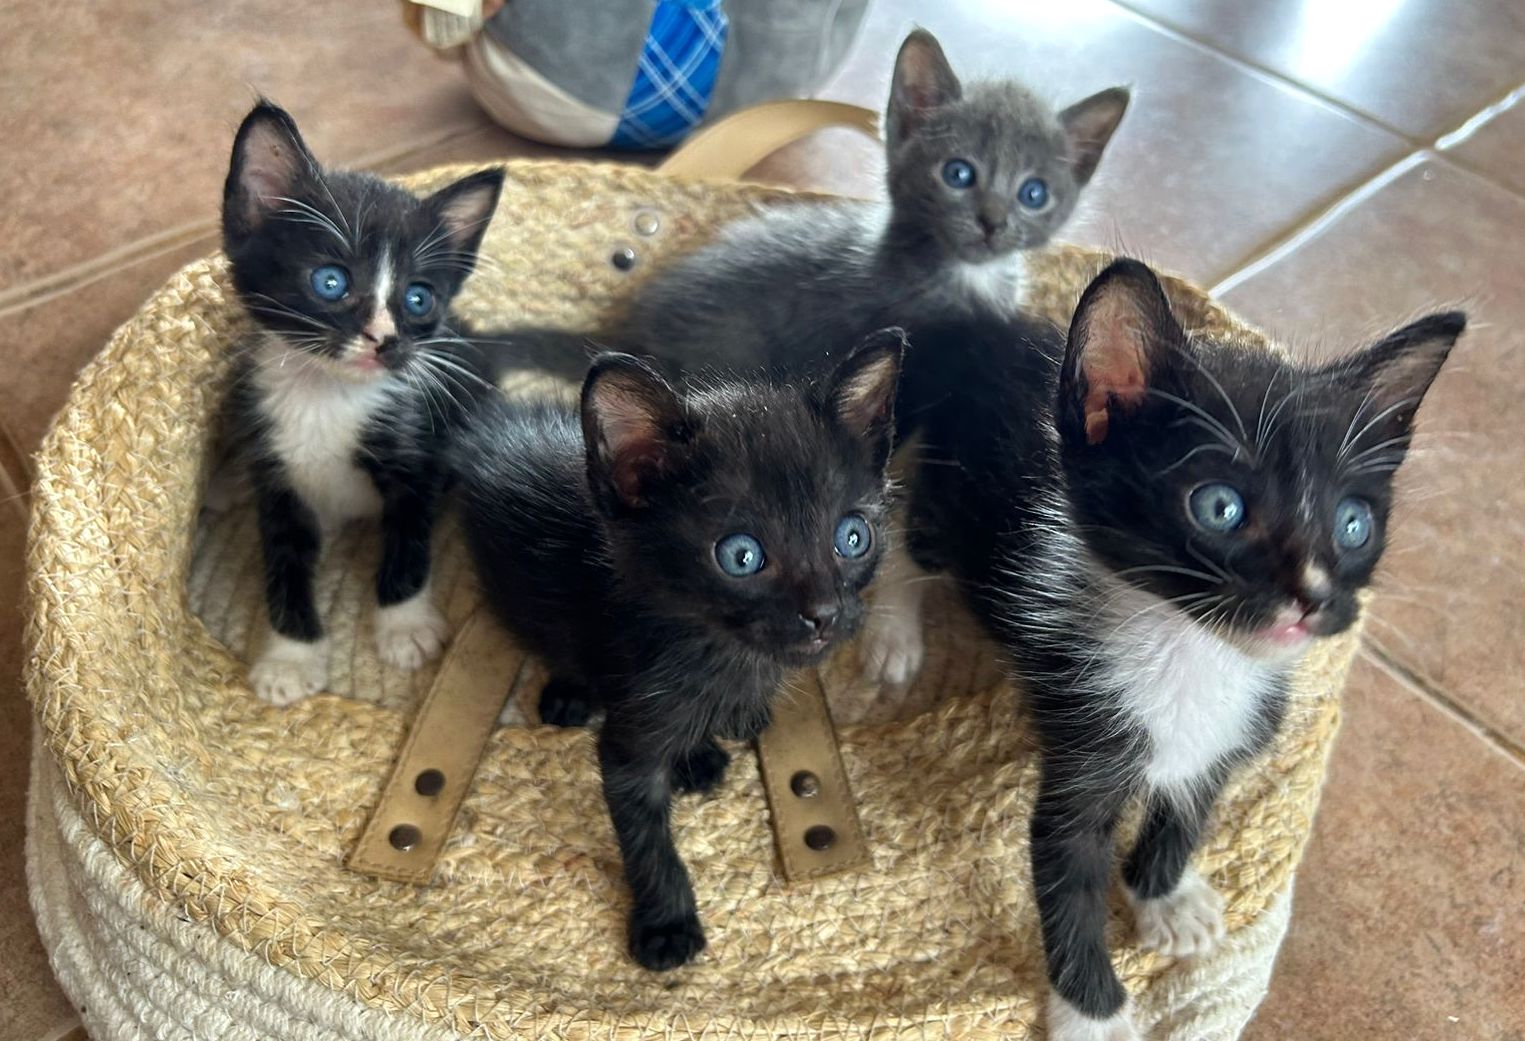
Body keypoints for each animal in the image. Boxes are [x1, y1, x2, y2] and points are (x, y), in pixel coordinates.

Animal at [218, 102, 503, 707]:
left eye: (418, 298)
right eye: (331, 282)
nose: (386, 341)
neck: (326, 396)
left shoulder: (416, 451)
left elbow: (409, 542)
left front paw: (404, 626)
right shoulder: (278, 469)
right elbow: (283, 561)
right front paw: (291, 657)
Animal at [451, 332, 902, 969]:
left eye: (853, 537)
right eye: (741, 556)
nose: (824, 614)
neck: (721, 652)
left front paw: (707, 743)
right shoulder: (631, 737)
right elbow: (645, 835)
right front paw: (666, 923)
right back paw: (571, 693)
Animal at [890, 260, 1464, 1041]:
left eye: (1352, 524)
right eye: (1219, 507)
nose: (1313, 596)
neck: (1193, 652)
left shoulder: (1234, 735)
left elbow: (1187, 814)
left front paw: (1164, 897)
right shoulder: (1084, 752)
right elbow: (1065, 883)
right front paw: (1093, 1014)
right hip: (944, 499)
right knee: (899, 538)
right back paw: (890, 636)